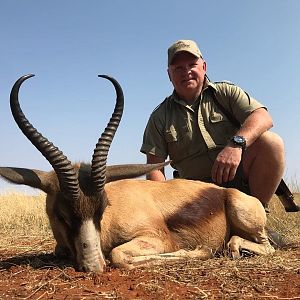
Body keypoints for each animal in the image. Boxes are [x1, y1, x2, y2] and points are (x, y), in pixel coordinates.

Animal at [0, 74, 274, 272]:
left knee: (262, 246)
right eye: (62, 215)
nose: (93, 266)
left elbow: (118, 255)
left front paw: (200, 251)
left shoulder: (157, 238)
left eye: (102, 209)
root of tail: (227, 192)